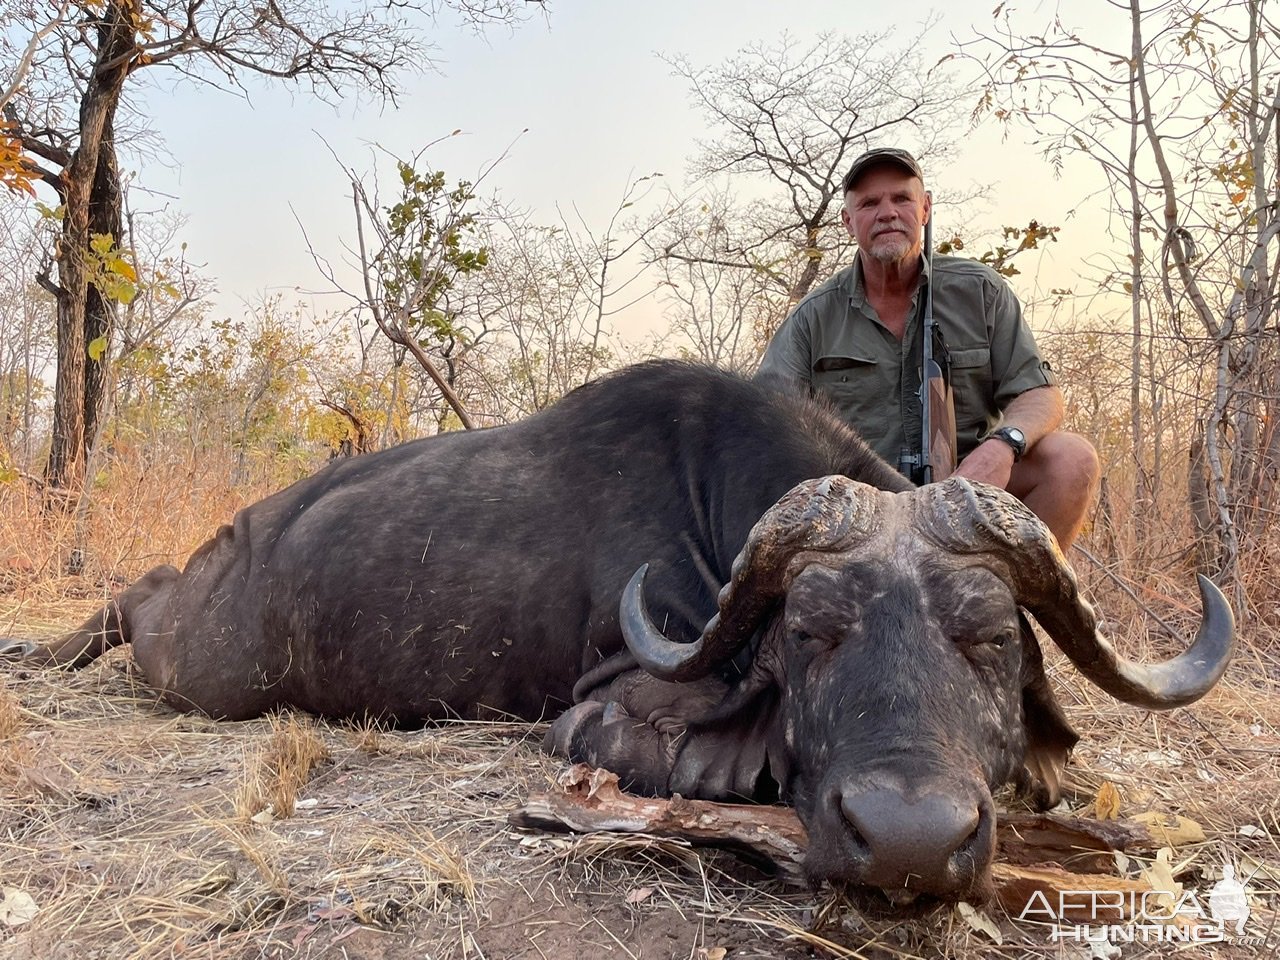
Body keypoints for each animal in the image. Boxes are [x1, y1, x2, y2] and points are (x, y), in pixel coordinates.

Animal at [5, 363, 1233, 911]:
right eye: (810, 633)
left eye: (988, 638)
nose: (908, 839)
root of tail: (244, 531)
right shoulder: (596, 716)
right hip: (202, 659)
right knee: (135, 597)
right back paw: (42, 652)